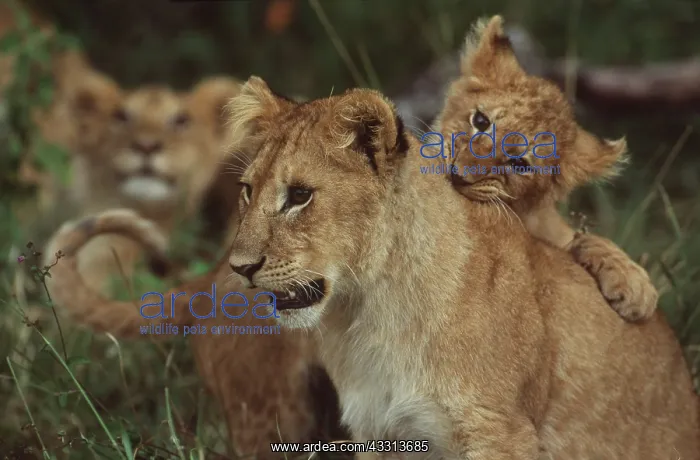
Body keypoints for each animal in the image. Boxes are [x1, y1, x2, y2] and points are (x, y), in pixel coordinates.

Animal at [222, 67, 699, 458]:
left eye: (300, 195)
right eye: (247, 190)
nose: (239, 267)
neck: (368, 311)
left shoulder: (500, 431)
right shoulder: (379, 431)